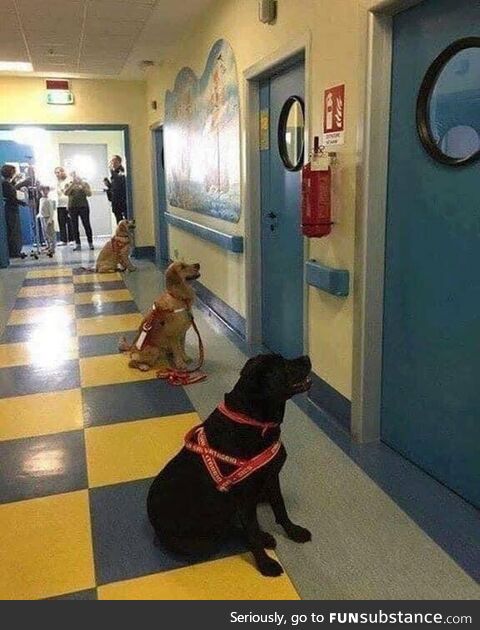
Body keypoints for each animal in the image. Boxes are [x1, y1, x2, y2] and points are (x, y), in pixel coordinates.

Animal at [147, 356, 312, 576]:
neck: (255, 422)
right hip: (201, 539)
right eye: (284, 366)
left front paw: (294, 531)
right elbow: (252, 533)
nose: (307, 358)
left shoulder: (272, 477)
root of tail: (154, 527)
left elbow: (280, 508)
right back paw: (263, 537)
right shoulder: (244, 498)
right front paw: (265, 564)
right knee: (230, 530)